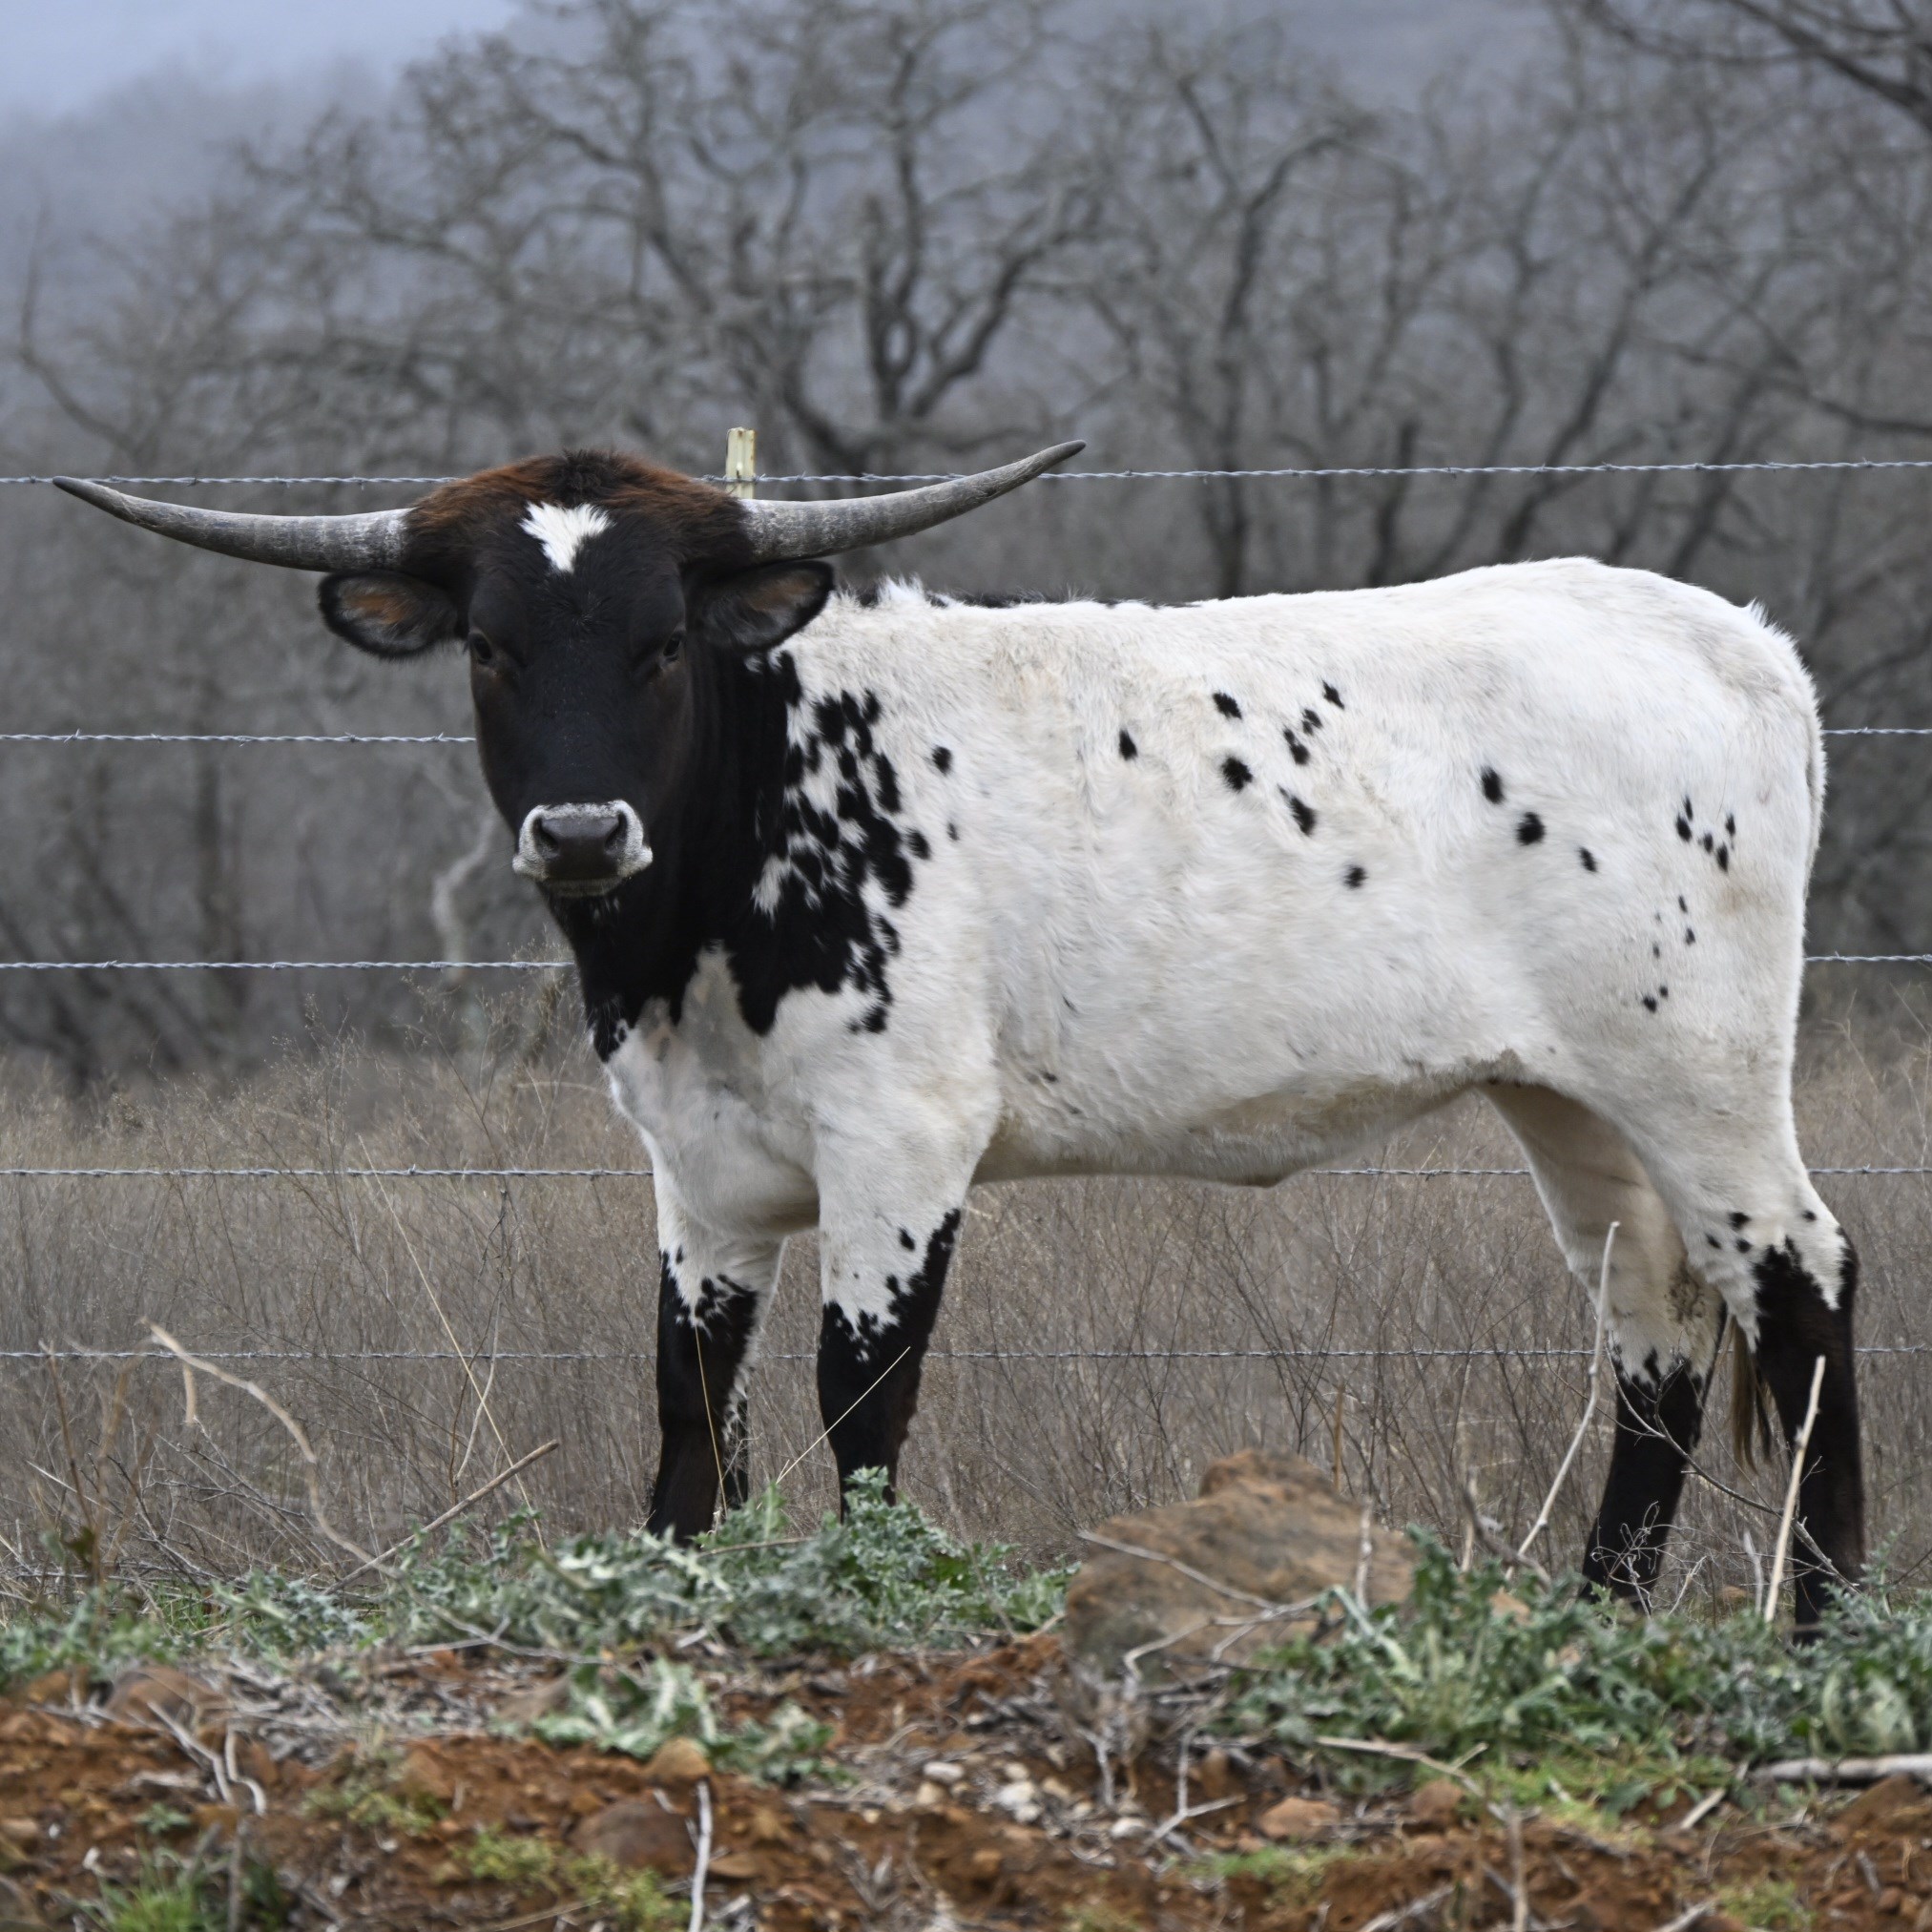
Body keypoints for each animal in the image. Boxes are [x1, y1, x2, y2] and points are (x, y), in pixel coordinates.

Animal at [58, 443, 1863, 1627]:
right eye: (491, 646)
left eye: (660, 639)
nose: (578, 832)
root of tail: (1739, 642)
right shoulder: (699, 1178)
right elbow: (686, 1412)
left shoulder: (901, 1142)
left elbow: (859, 1402)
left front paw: (866, 1610)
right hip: (1568, 1099)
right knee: (1651, 1323)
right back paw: (1600, 1618)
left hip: (1699, 1074)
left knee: (1801, 1278)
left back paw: (1824, 1621)